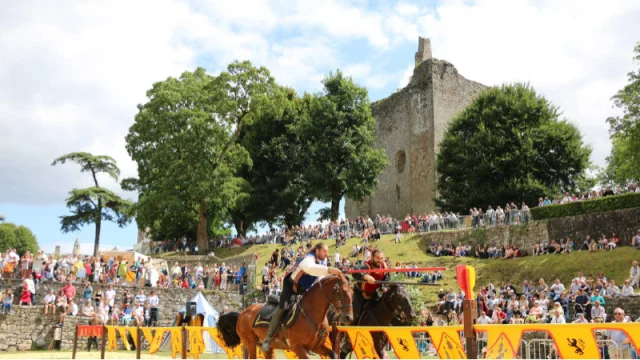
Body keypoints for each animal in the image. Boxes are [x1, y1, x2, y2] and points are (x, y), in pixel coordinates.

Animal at [218, 274, 352, 358]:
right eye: (343, 291)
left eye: (352, 292)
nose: (348, 318)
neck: (311, 316)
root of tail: (242, 313)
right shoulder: (298, 348)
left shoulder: (317, 347)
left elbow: (334, 354)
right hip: (250, 343)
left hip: (265, 348)